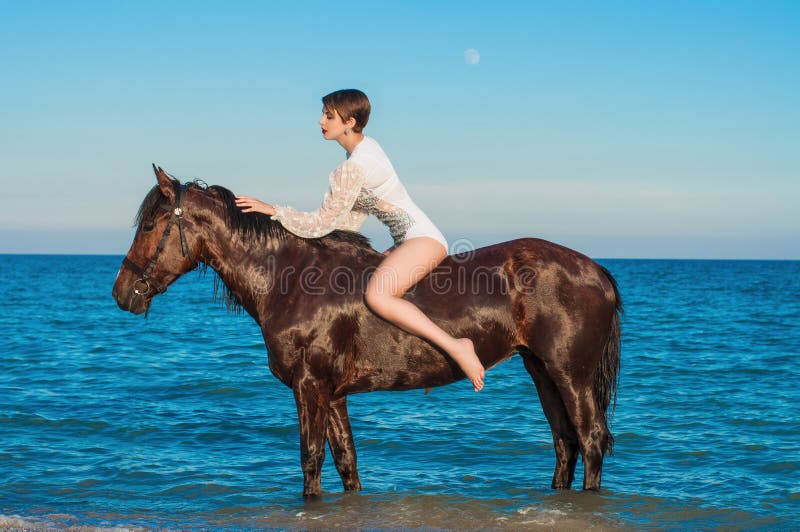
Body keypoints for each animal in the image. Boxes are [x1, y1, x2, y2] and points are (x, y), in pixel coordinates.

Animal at [114, 165, 624, 494]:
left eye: (152, 224)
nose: (121, 293)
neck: (291, 278)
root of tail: (595, 269)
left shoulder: (309, 386)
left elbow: (311, 461)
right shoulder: (332, 393)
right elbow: (346, 463)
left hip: (571, 375)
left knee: (591, 441)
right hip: (542, 371)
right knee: (565, 444)